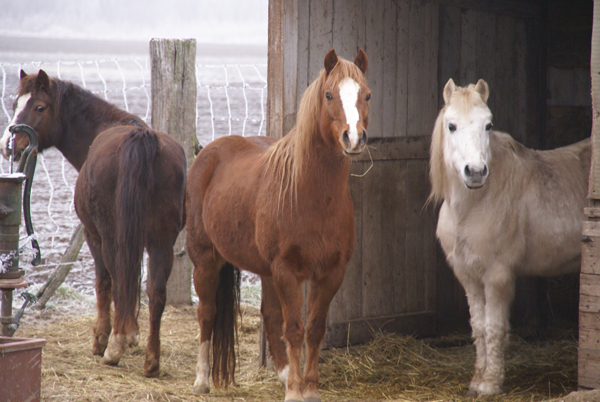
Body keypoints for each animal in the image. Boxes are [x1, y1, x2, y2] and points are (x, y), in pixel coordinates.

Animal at [0, 70, 186, 376]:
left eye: (39, 107)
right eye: (16, 103)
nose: (9, 144)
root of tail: (141, 138)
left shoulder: (93, 235)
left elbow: (104, 282)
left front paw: (104, 338)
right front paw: (133, 334)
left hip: (111, 238)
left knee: (117, 279)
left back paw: (114, 346)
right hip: (162, 241)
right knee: (156, 292)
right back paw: (151, 361)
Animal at [185, 48, 370, 400]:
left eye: (366, 95)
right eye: (329, 95)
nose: (353, 139)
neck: (311, 196)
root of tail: (209, 152)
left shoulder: (330, 273)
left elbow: (314, 329)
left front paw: (308, 388)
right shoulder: (287, 271)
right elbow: (294, 329)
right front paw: (295, 392)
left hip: (265, 270)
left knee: (269, 317)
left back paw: (285, 375)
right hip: (205, 259)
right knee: (207, 313)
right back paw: (201, 379)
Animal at [432, 77, 592, 396]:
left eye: (488, 125)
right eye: (451, 125)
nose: (475, 172)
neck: (474, 205)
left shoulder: (497, 276)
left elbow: (494, 328)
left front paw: (490, 384)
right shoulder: (469, 276)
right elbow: (478, 327)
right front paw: (476, 380)